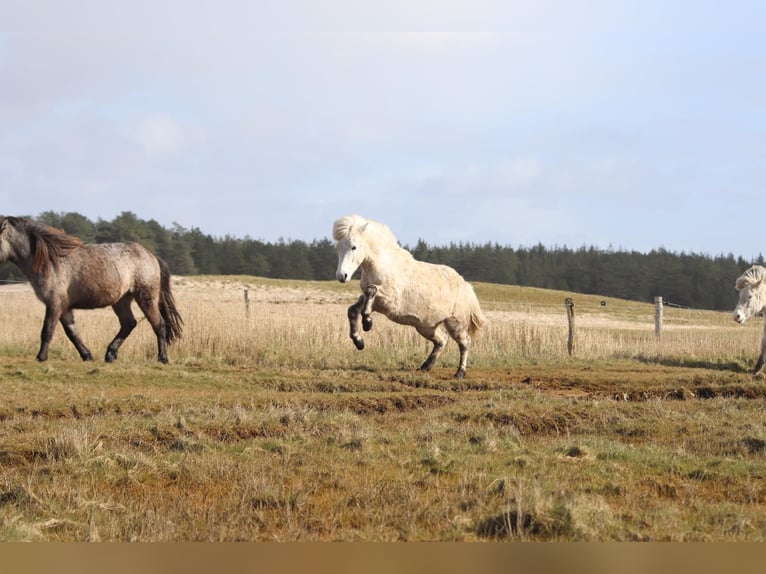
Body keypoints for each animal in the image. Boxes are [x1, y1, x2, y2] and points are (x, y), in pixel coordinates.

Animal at [0, 216, 183, 363]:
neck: (50, 261)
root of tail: (152, 257)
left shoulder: (54, 303)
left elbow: (47, 330)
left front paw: (41, 357)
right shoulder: (64, 307)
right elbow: (72, 333)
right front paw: (87, 355)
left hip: (146, 297)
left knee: (159, 325)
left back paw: (162, 358)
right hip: (121, 301)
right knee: (129, 323)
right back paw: (110, 355)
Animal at [333, 214, 486, 378]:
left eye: (353, 247)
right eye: (339, 248)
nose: (342, 276)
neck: (385, 264)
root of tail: (466, 286)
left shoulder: (389, 301)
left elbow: (370, 291)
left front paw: (367, 322)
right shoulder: (376, 303)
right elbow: (352, 310)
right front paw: (359, 341)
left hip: (455, 323)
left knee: (465, 343)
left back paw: (460, 373)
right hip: (425, 327)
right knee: (441, 341)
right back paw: (425, 366)